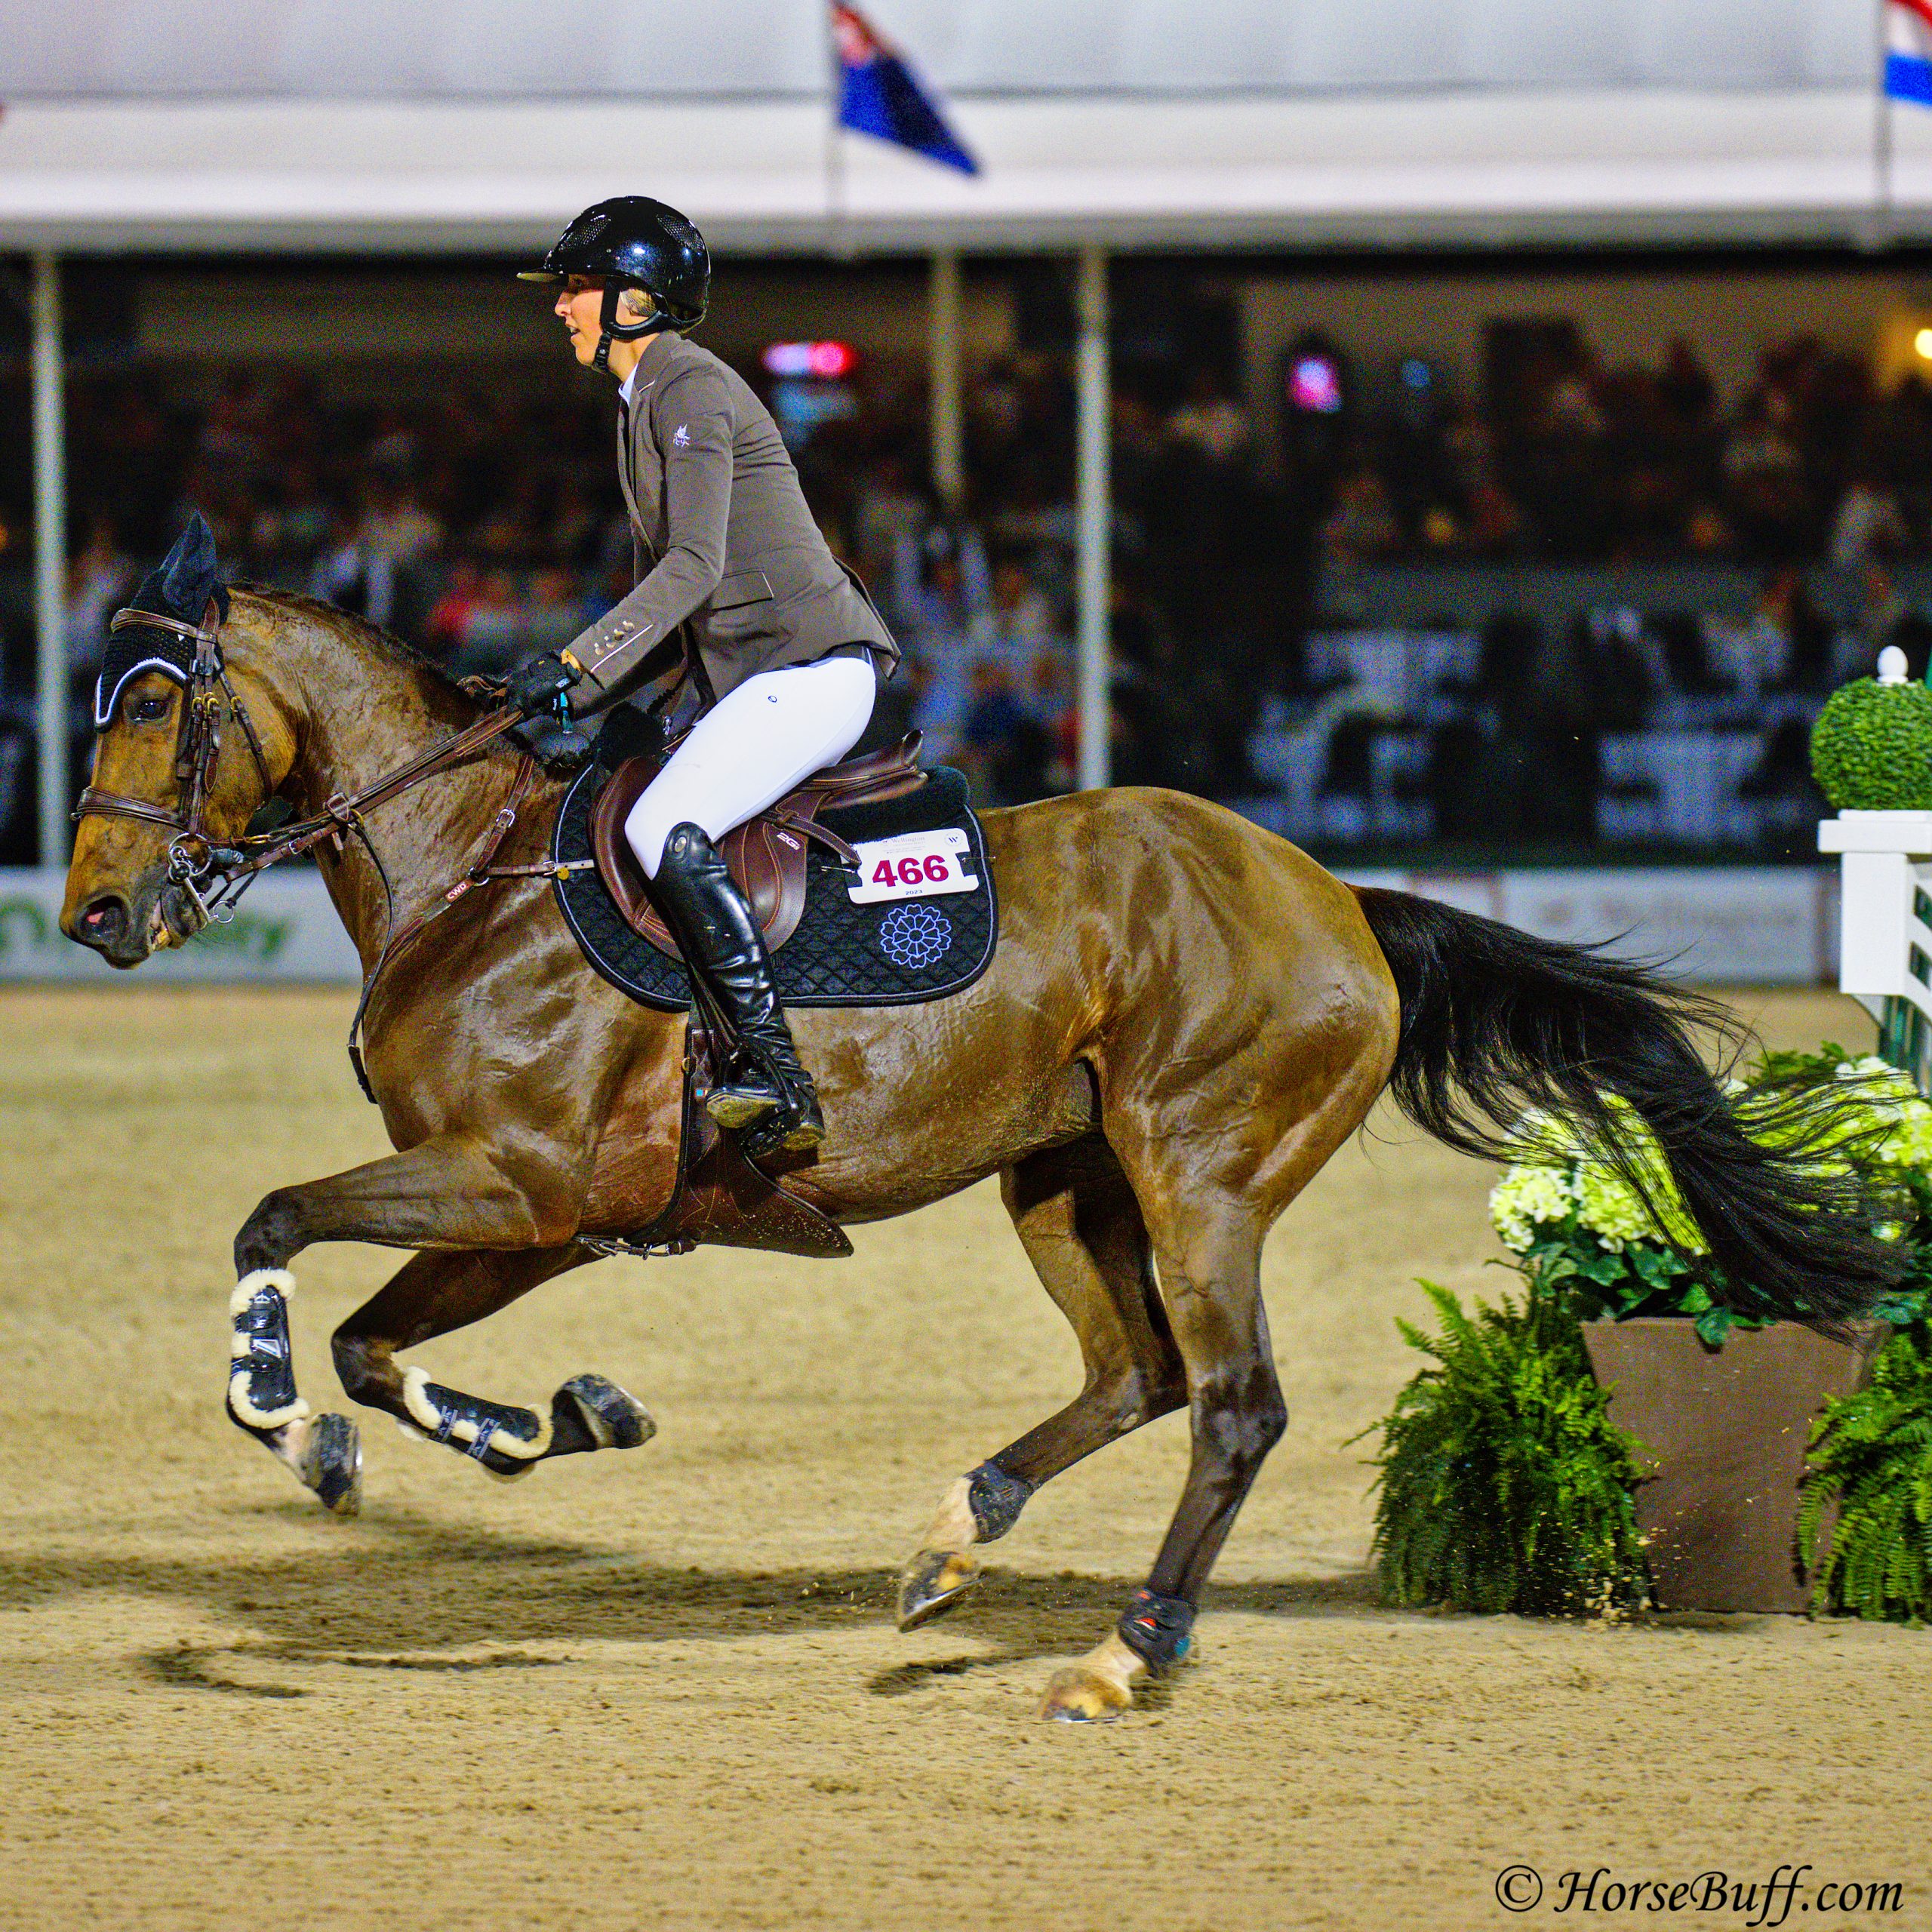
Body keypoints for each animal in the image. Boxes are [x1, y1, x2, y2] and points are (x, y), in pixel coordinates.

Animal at [64, 575, 1901, 1723]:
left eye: (152, 708)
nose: (90, 917)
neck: (474, 868)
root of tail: (1334, 895)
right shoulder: (539, 1219)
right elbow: (374, 1349)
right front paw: (525, 1426)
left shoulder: (524, 1184)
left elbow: (274, 1224)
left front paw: (268, 1399)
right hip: (1065, 1182)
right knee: (1136, 1376)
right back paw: (957, 1532)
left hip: (1197, 1172)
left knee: (1232, 1405)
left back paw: (1123, 1654)